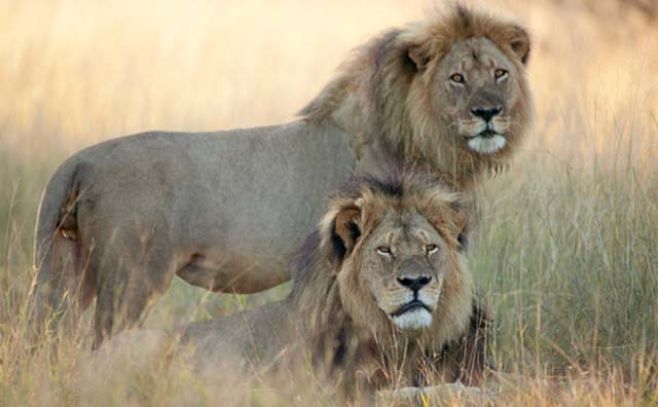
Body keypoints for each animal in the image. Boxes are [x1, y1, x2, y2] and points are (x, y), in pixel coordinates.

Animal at [29, 4, 531, 346]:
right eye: (457, 78)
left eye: (500, 73)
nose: (489, 113)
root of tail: (78, 161)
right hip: (130, 277)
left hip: (67, 269)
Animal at [179, 174, 489, 400]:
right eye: (385, 250)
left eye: (430, 248)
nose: (416, 282)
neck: (400, 340)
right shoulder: (337, 392)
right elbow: (411, 393)